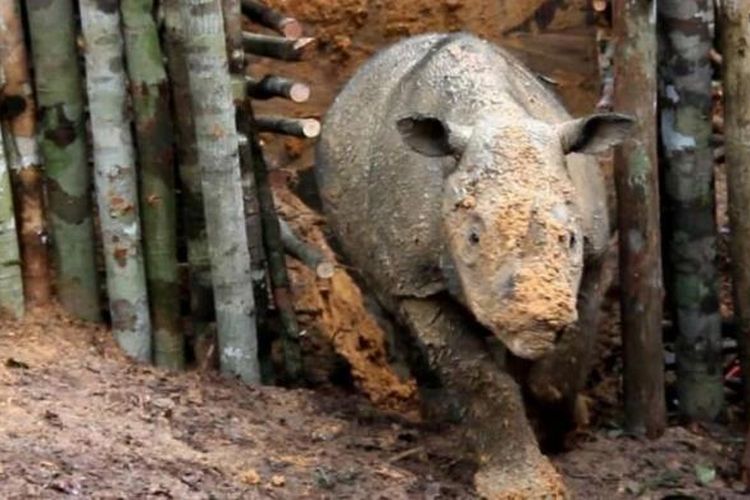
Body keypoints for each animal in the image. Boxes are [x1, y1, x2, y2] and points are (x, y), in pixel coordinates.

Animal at [314, 32, 632, 500]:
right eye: (473, 238)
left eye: (570, 239)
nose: (534, 323)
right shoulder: (418, 279)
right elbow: (475, 373)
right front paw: (522, 484)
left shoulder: (594, 257)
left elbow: (564, 364)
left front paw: (564, 428)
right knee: (383, 297)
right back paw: (434, 412)